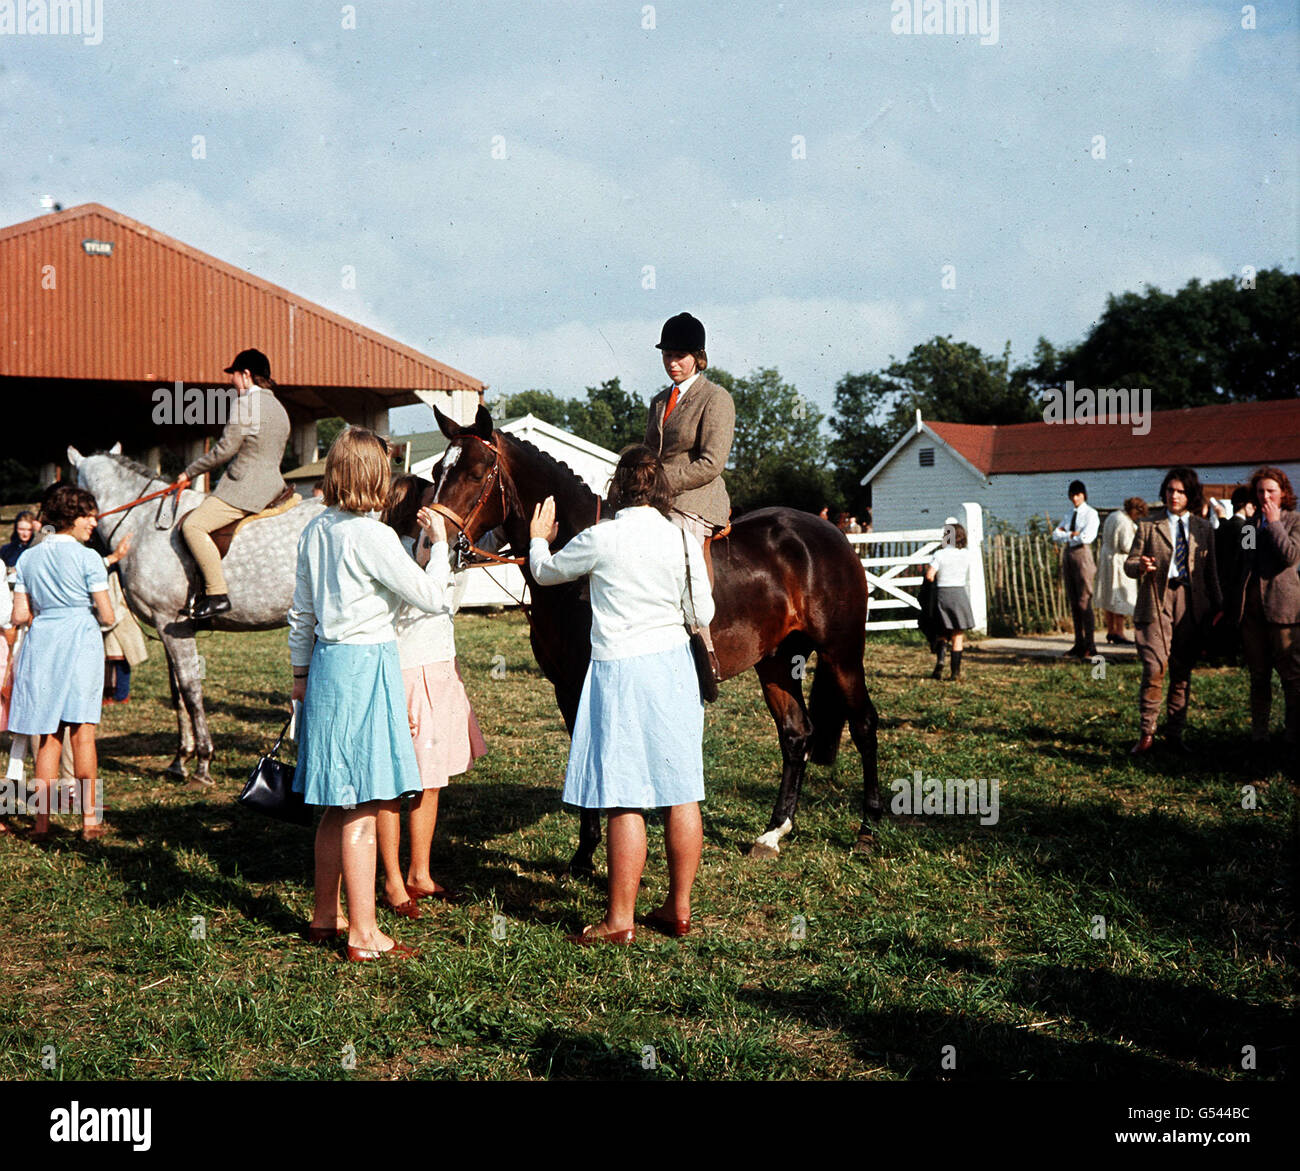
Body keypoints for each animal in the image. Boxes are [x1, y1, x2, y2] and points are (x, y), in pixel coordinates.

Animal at [69, 447, 325, 784]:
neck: (143, 523)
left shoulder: (171, 622)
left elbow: (190, 689)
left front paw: (203, 761)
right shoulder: (168, 627)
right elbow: (176, 691)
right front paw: (181, 758)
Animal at [428, 405, 883, 873]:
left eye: (476, 473)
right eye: (435, 471)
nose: (433, 538)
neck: (573, 571)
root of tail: (831, 534)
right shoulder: (566, 687)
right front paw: (584, 854)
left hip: (842, 653)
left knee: (864, 725)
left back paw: (867, 830)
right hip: (776, 661)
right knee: (796, 734)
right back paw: (773, 833)